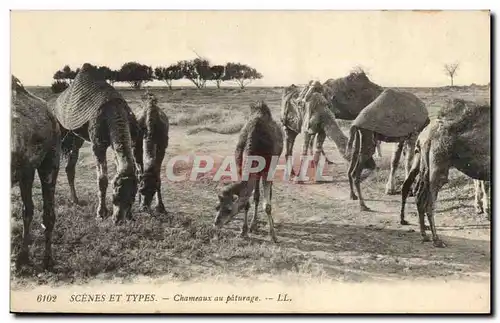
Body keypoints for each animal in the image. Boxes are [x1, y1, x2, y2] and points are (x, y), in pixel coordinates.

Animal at [48, 64, 143, 224]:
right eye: (115, 196)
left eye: (132, 198)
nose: (118, 220)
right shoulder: (98, 144)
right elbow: (102, 179)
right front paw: (101, 213)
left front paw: (131, 216)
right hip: (60, 129)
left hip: (76, 137)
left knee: (70, 166)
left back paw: (75, 199)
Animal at [215, 101, 286, 243]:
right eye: (217, 207)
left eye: (229, 209)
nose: (216, 223)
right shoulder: (240, 167)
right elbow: (246, 201)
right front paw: (244, 231)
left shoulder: (268, 169)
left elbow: (267, 206)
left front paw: (273, 235)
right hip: (256, 172)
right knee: (256, 195)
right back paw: (254, 225)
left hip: (272, 165)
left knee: (268, 194)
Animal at [400, 98, 490, 248]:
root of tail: (423, 135)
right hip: (438, 166)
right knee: (428, 202)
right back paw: (436, 239)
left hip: (423, 163)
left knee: (416, 192)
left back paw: (423, 234)